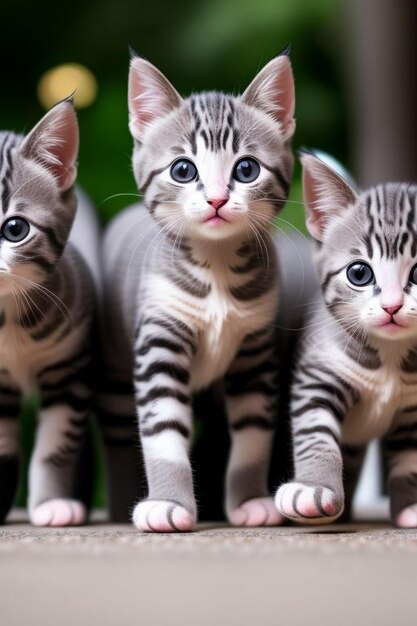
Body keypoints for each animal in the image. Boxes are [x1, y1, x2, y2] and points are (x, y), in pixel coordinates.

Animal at [100, 53, 296, 528]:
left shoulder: (255, 353)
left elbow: (253, 435)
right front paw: (168, 504)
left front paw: (249, 500)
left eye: (246, 169)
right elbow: (163, 431)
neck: (217, 269)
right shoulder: (158, 340)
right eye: (183, 170)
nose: (218, 200)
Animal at [276, 152, 417, 528]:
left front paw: (411, 505)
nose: (392, 306)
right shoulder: (316, 376)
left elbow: (409, 457)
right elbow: (316, 437)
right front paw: (313, 489)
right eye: (359, 273)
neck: (390, 356)